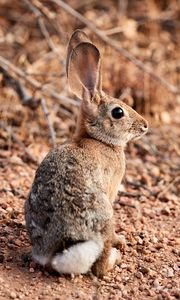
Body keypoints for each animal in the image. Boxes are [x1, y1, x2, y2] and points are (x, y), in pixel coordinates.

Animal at [24, 29, 148, 278]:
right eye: (118, 112)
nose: (144, 125)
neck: (97, 138)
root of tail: (57, 253)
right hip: (104, 214)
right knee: (99, 266)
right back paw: (116, 256)